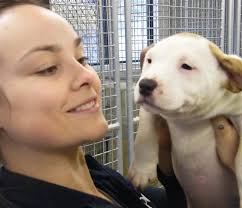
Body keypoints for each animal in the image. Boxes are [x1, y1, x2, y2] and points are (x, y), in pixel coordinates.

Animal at [130, 33, 242, 208]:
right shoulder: (147, 110)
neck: (189, 118)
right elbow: (144, 134)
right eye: (149, 60)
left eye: (186, 66)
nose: (145, 84)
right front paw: (142, 171)